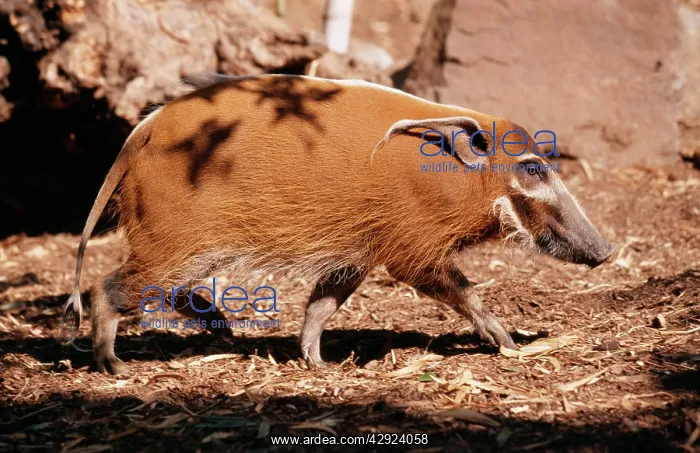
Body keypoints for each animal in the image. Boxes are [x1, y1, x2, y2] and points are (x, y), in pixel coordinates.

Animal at [59, 74, 615, 374]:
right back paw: (113, 364)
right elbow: (463, 290)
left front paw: (316, 363)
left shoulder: (357, 254)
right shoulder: (409, 248)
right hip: (171, 241)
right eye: (533, 169)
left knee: (166, 291)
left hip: (189, 250)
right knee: (107, 286)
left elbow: (322, 305)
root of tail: (143, 132)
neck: (456, 178)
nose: (606, 251)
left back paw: (224, 331)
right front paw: (509, 343)